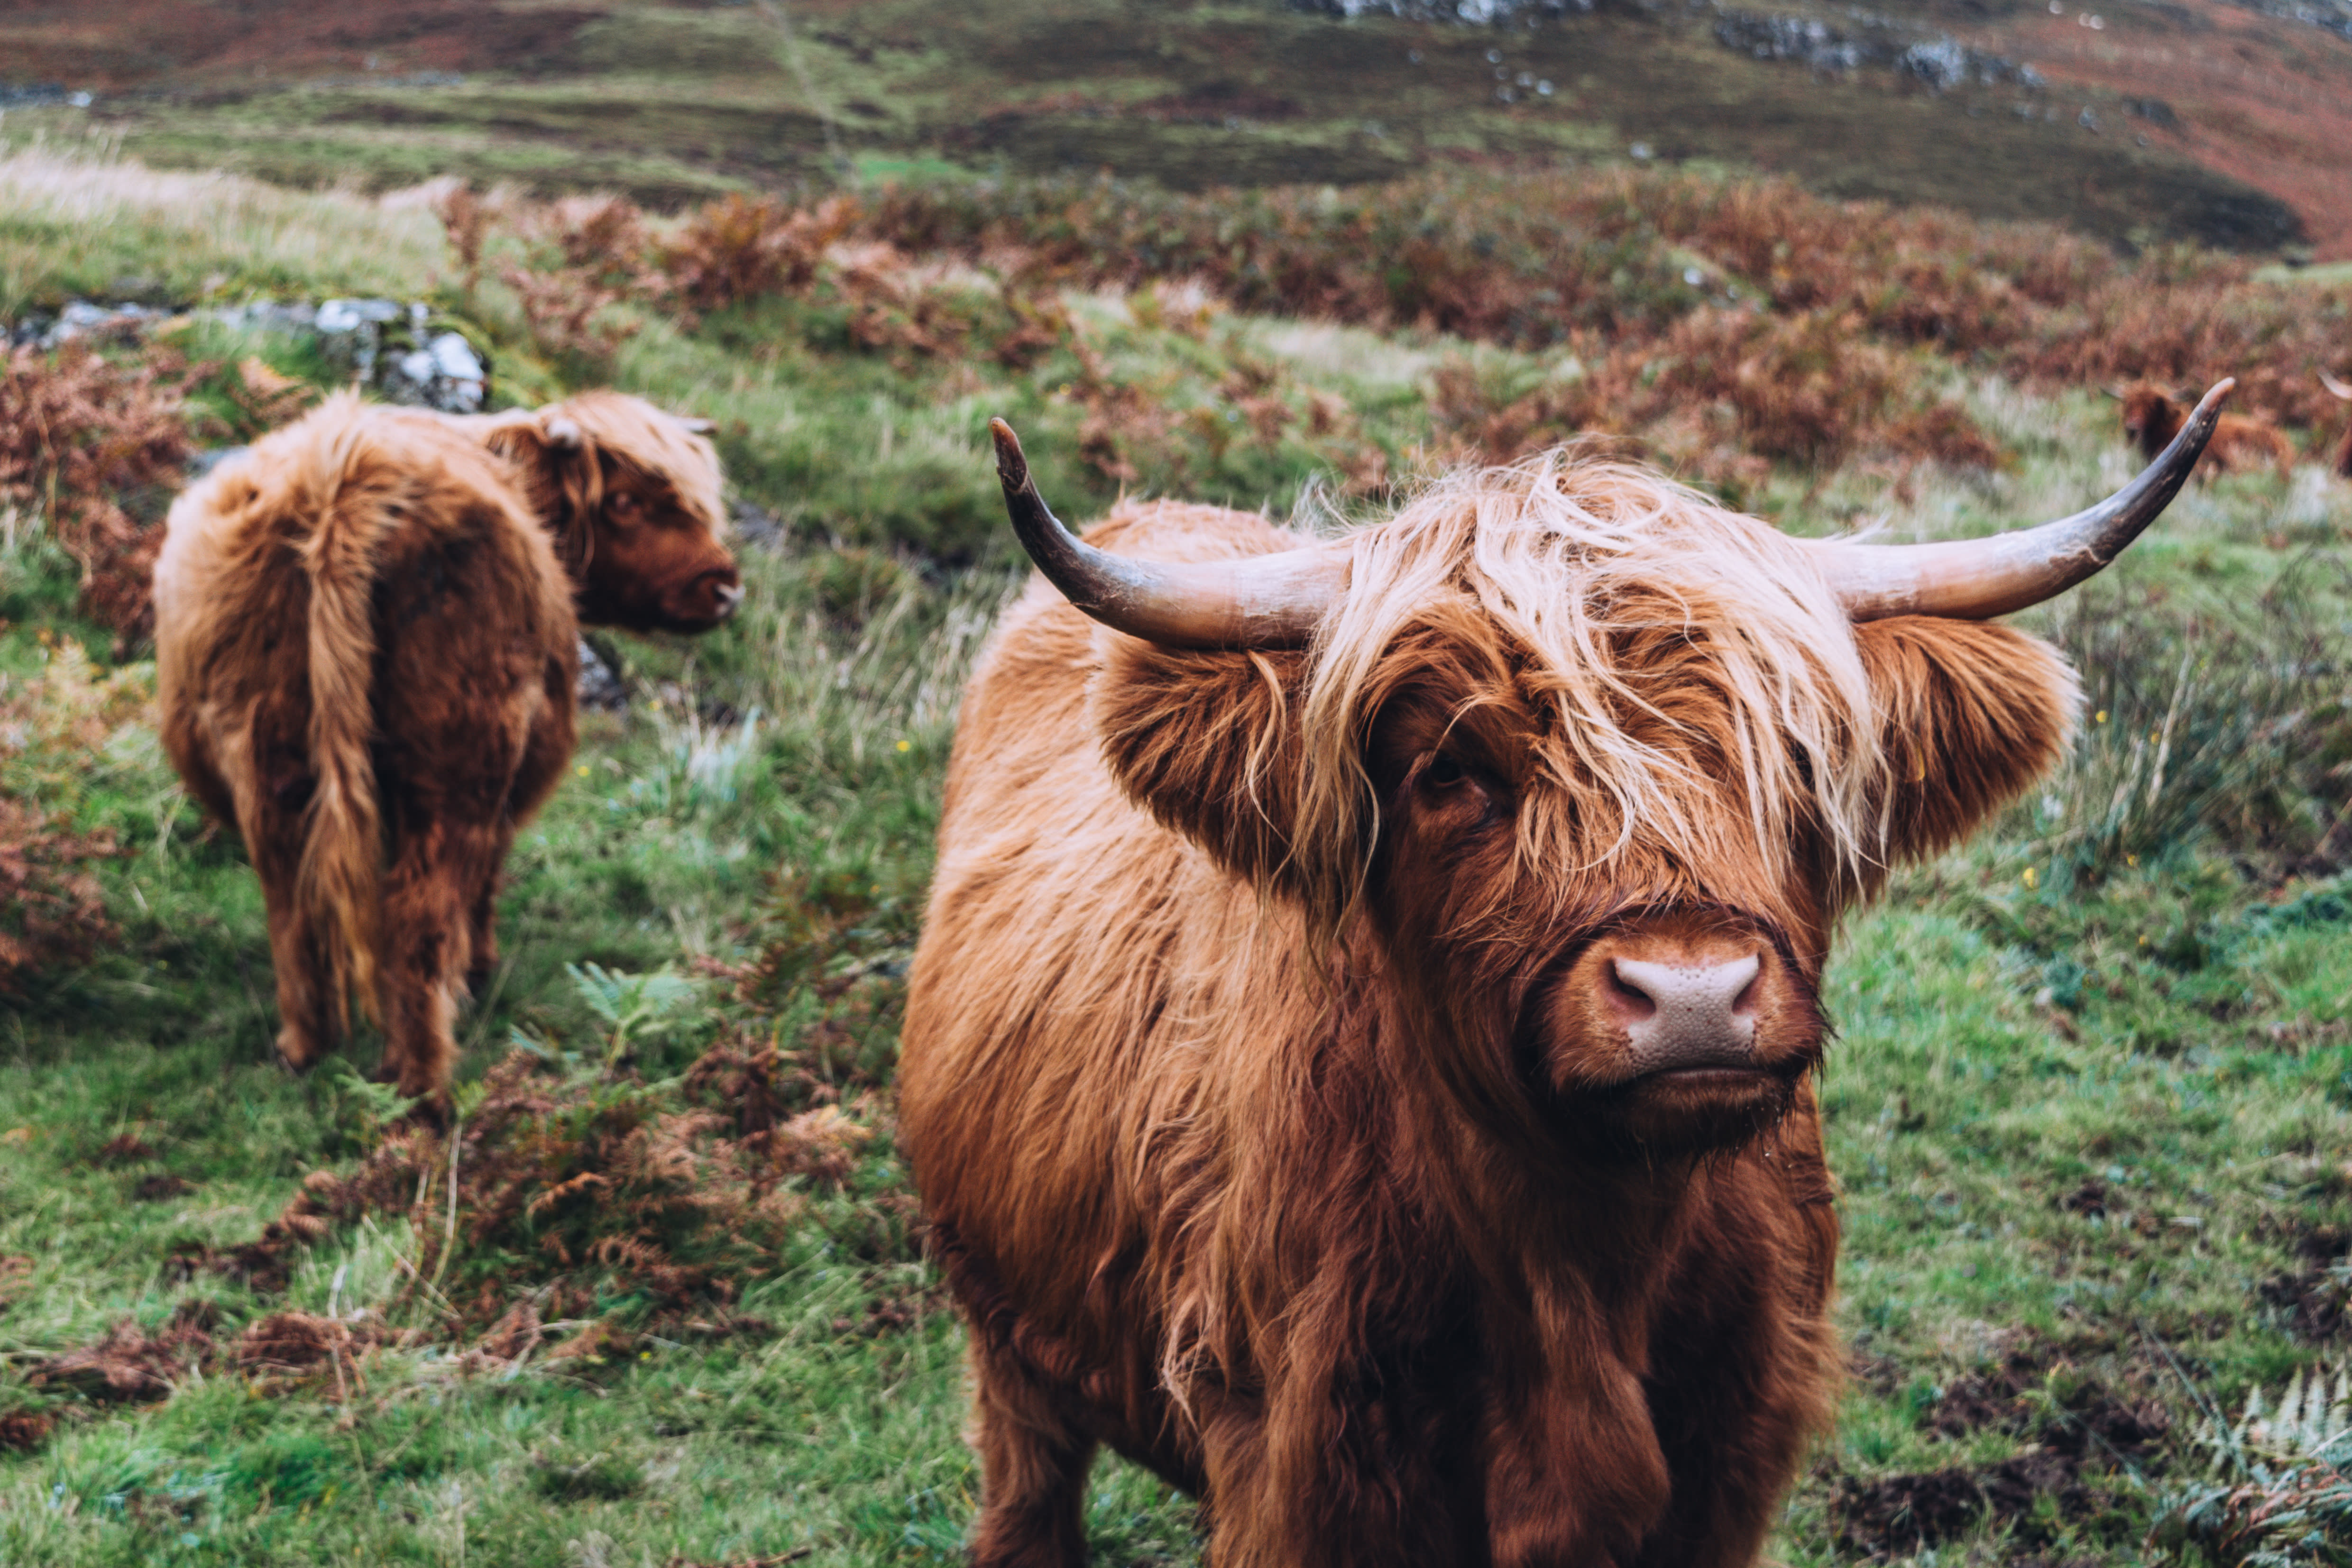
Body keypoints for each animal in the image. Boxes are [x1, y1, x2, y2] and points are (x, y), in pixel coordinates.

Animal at [153, 392, 738, 1105]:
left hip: (268, 758)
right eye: (626, 501)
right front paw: (479, 967)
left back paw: (305, 1049)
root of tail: (346, 477)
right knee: (422, 907)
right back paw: (420, 1080)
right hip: (461, 757)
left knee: (292, 899)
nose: (725, 585)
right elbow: (486, 877)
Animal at [889, 383, 2230, 1568]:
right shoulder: (1298, 1476)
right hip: (1004, 1338)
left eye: (1794, 758)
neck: (1580, 1267)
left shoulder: (1727, 1471)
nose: (1690, 995)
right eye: (1451, 767)